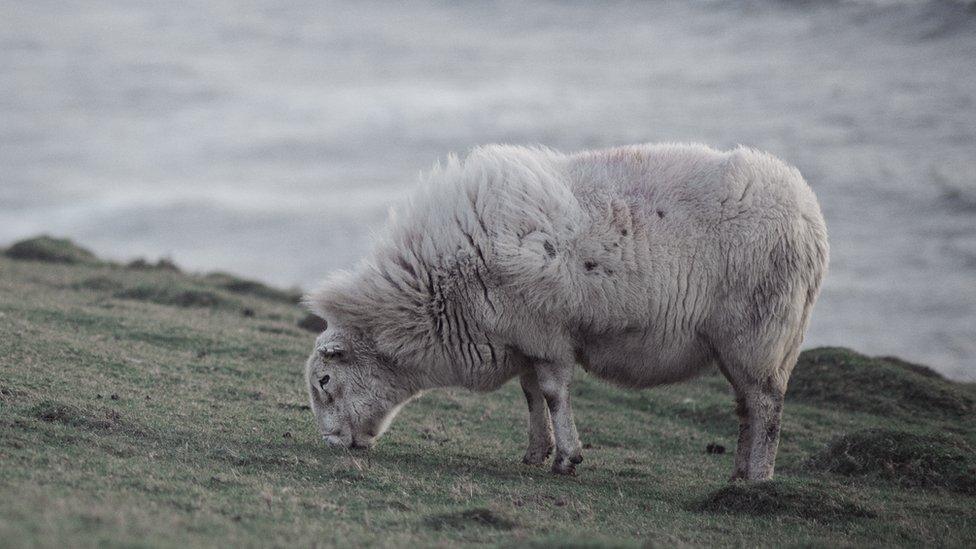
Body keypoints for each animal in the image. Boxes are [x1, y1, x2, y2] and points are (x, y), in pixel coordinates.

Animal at [304, 142, 824, 480]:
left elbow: (554, 394)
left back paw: (758, 480)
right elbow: (531, 394)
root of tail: (809, 213)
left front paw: (567, 458)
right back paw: (738, 475)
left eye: (325, 382)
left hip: (759, 334)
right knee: (747, 407)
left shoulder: (546, 332)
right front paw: (537, 452)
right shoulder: (524, 339)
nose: (331, 445)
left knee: (766, 406)